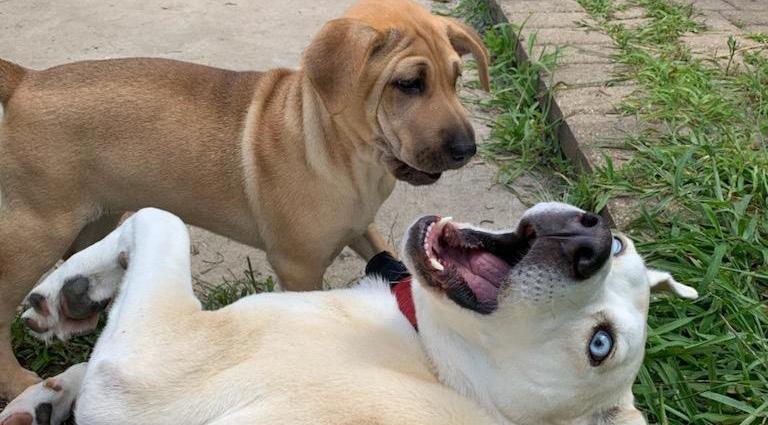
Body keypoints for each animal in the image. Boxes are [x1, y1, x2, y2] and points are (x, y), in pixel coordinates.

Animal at [0, 0, 490, 397]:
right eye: (408, 84)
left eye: (456, 79)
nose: (467, 150)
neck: (341, 150)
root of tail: (26, 80)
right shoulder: (299, 268)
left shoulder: (361, 229)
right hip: (35, 233)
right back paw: (18, 379)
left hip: (97, 213)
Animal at [0, 203, 697, 424]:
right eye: (622, 246)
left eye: (600, 346)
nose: (591, 238)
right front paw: (69, 296)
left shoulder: (143, 365)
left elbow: (157, 219)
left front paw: (73, 288)